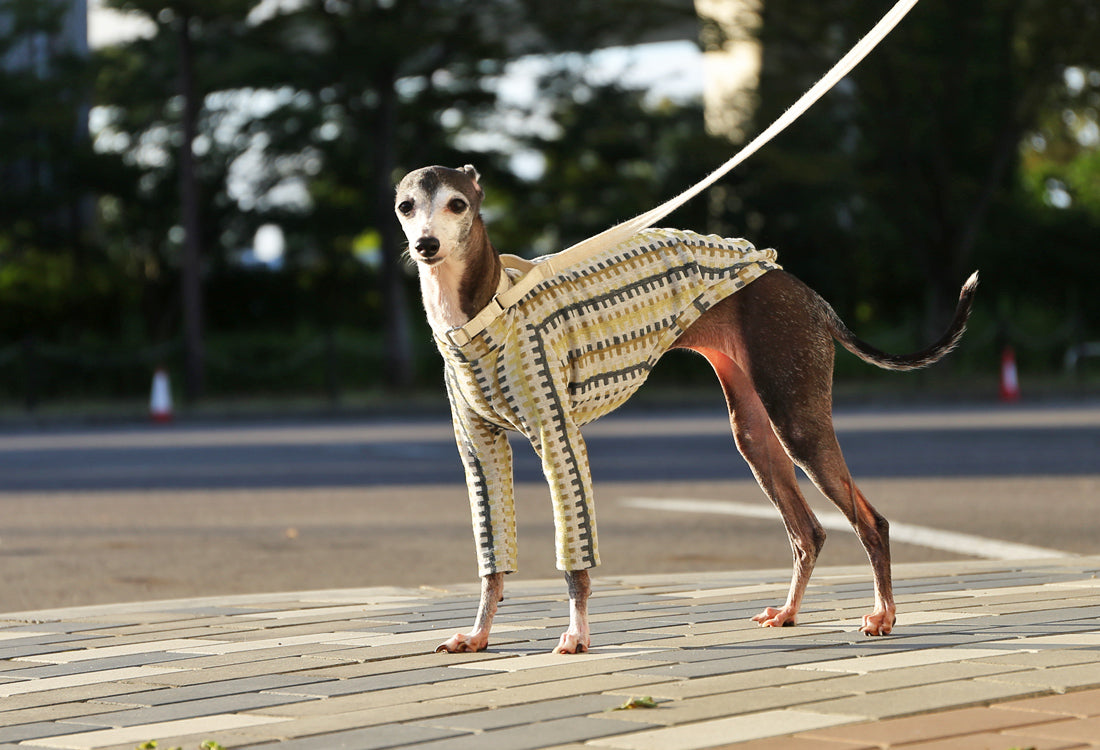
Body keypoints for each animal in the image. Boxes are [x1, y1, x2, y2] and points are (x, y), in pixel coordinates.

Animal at [396, 161, 981, 646]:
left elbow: (575, 563)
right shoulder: (481, 452)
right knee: (808, 532)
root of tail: (800, 288)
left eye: (457, 204)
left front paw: (577, 636)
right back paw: (789, 612)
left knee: (871, 522)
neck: (484, 312)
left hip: (797, 422)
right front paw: (477, 636)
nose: (426, 245)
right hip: (753, 432)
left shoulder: (559, 439)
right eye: (406, 206)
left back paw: (883, 615)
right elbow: (491, 563)